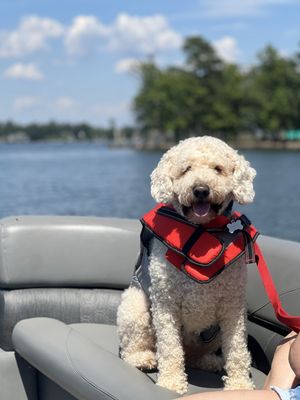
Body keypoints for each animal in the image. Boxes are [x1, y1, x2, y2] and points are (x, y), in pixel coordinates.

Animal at [116, 137, 255, 394]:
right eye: (186, 169)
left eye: (218, 169)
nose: (200, 190)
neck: (202, 232)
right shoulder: (165, 303)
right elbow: (170, 348)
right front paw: (171, 383)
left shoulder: (233, 305)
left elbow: (238, 350)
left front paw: (240, 385)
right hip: (135, 305)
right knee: (136, 347)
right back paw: (144, 358)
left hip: (212, 334)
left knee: (193, 357)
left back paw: (210, 361)